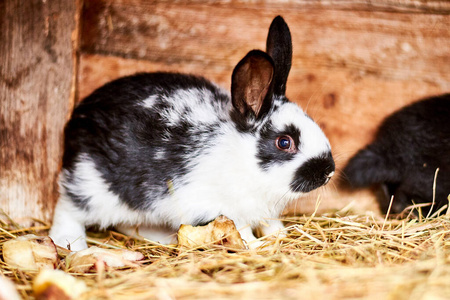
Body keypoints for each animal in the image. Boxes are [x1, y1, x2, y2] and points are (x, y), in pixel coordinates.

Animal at [49, 17, 334, 251]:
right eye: (284, 142)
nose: (328, 171)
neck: (241, 159)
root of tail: (76, 119)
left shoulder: (265, 212)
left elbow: (271, 226)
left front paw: (280, 237)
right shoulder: (219, 208)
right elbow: (242, 233)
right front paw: (258, 248)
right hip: (91, 186)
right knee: (68, 209)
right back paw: (70, 243)